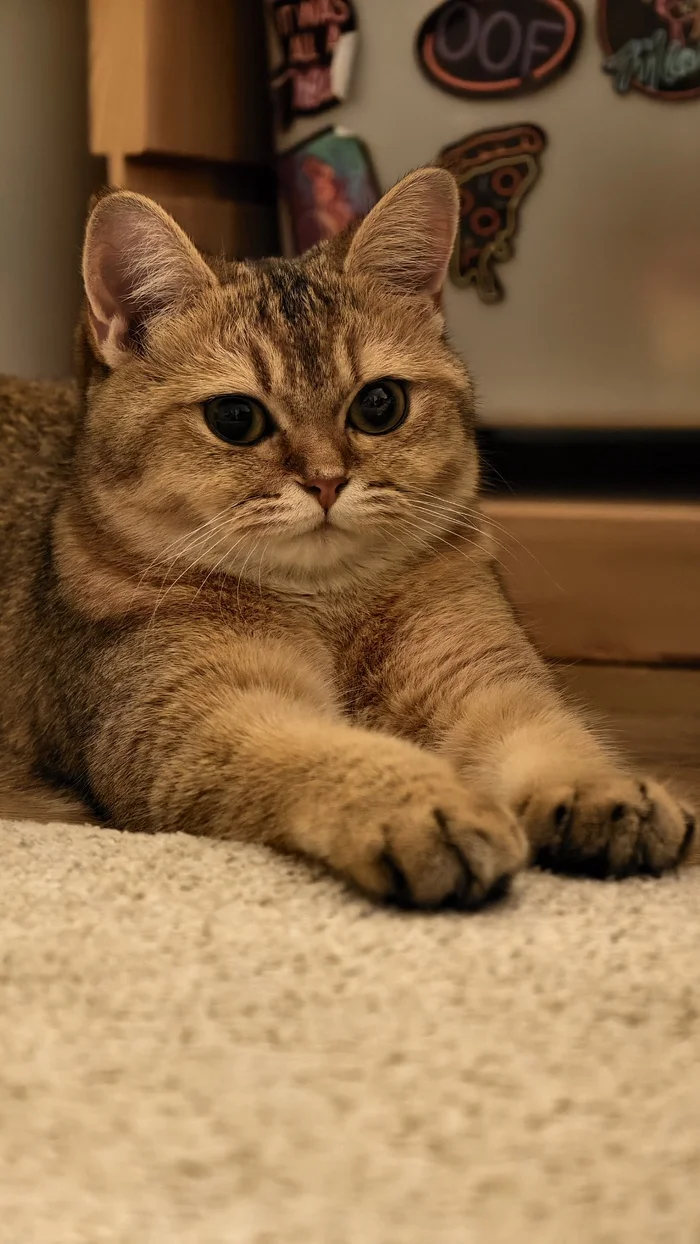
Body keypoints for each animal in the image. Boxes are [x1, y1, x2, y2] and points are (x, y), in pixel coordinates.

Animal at [0, 167, 691, 905]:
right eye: (235, 417)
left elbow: (548, 733)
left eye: (380, 405)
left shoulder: (479, 673)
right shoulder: (193, 713)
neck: (325, 603)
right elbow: (318, 748)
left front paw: (604, 792)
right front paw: (421, 803)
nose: (327, 481)